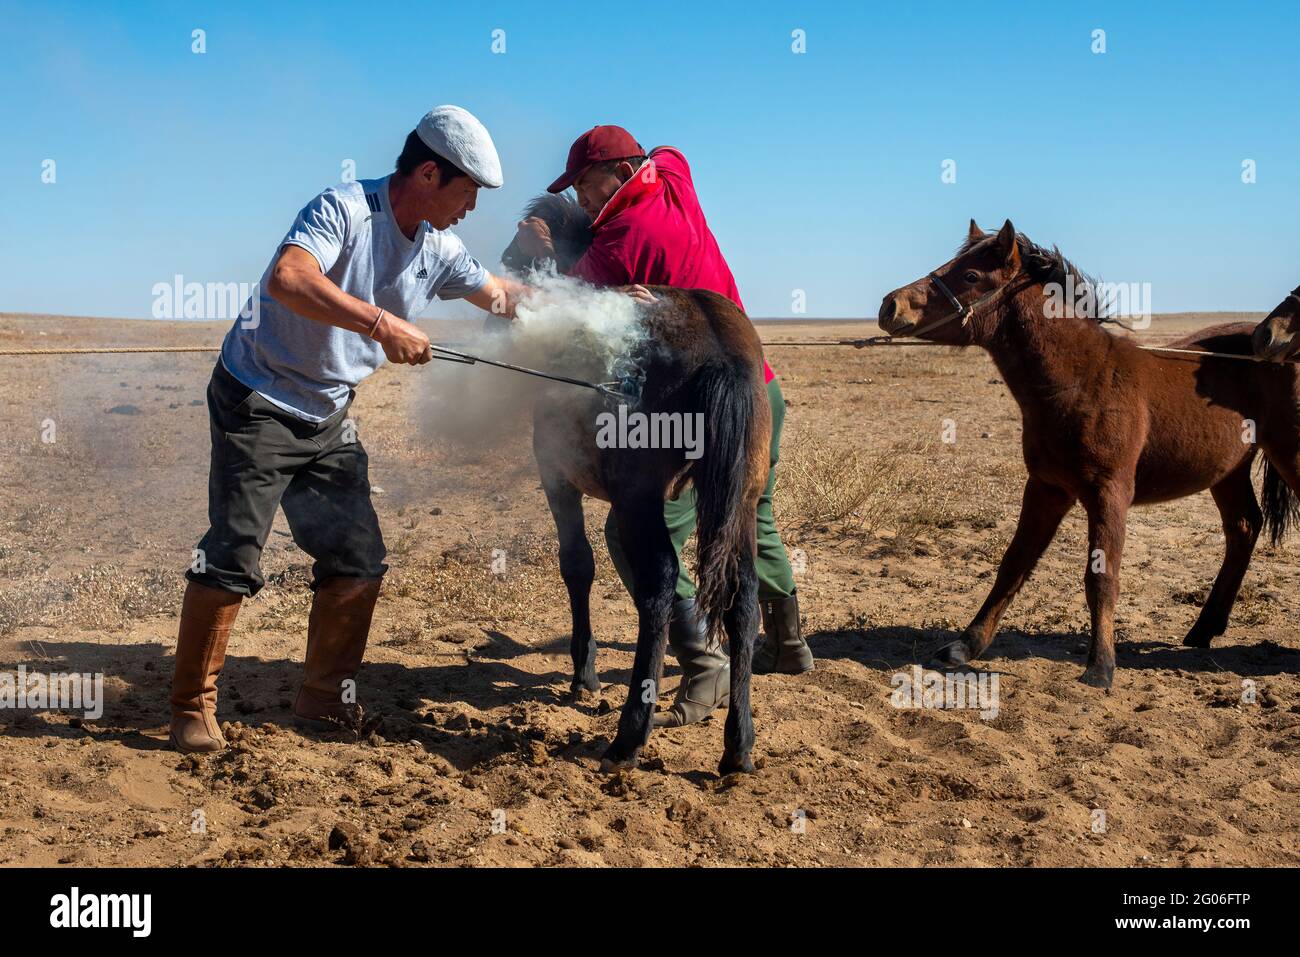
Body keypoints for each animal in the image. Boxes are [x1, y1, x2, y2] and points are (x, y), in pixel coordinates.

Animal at [500, 194, 771, 774]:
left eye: (527, 238)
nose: (507, 261)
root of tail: (721, 350)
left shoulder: (558, 478)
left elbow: (577, 565)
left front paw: (584, 673)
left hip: (641, 505)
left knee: (660, 588)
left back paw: (629, 735)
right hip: (738, 503)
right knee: (742, 599)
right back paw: (737, 744)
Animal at [878, 219, 1300, 689]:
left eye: (970, 276)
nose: (890, 305)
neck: (1081, 381)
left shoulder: (1108, 493)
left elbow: (1101, 578)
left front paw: (1100, 666)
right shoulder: (1046, 489)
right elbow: (1013, 564)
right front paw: (964, 646)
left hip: (1290, 455)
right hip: (1228, 472)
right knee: (1244, 527)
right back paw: (1203, 629)